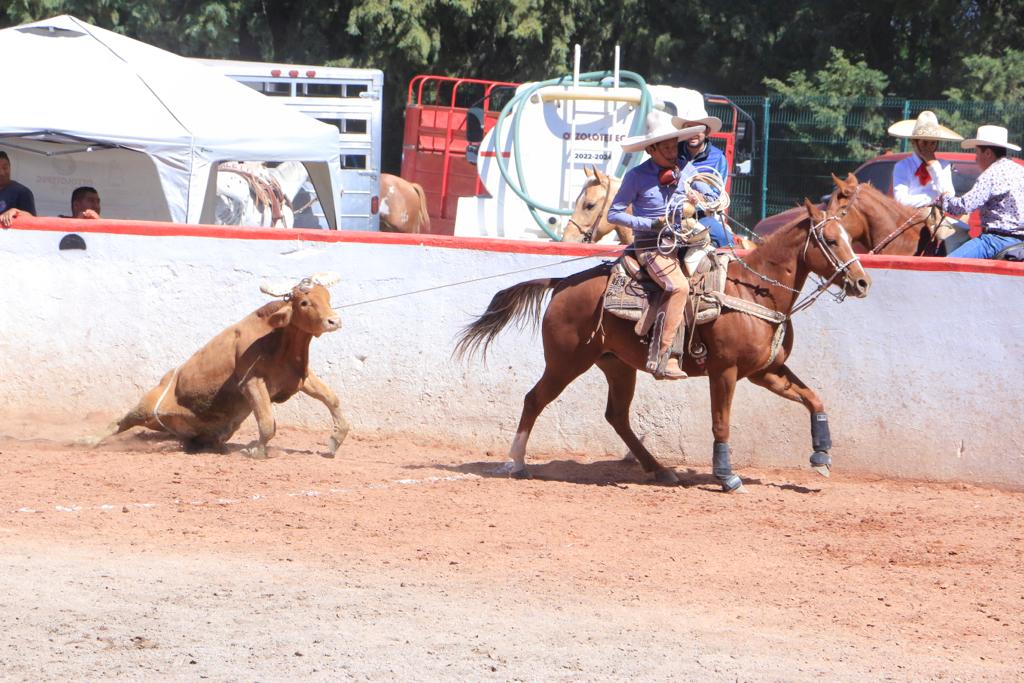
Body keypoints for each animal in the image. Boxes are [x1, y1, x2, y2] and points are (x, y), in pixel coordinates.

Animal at [460, 198, 868, 491]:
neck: (755, 291)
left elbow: (813, 398)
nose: (862, 282)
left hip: (616, 365)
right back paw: (515, 463)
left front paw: (822, 456)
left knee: (616, 416)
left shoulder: (765, 371)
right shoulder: (725, 371)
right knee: (534, 400)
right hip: (565, 362)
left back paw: (658, 469)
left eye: (851, 238)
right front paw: (727, 476)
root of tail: (563, 283)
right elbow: (721, 423)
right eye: (831, 241)